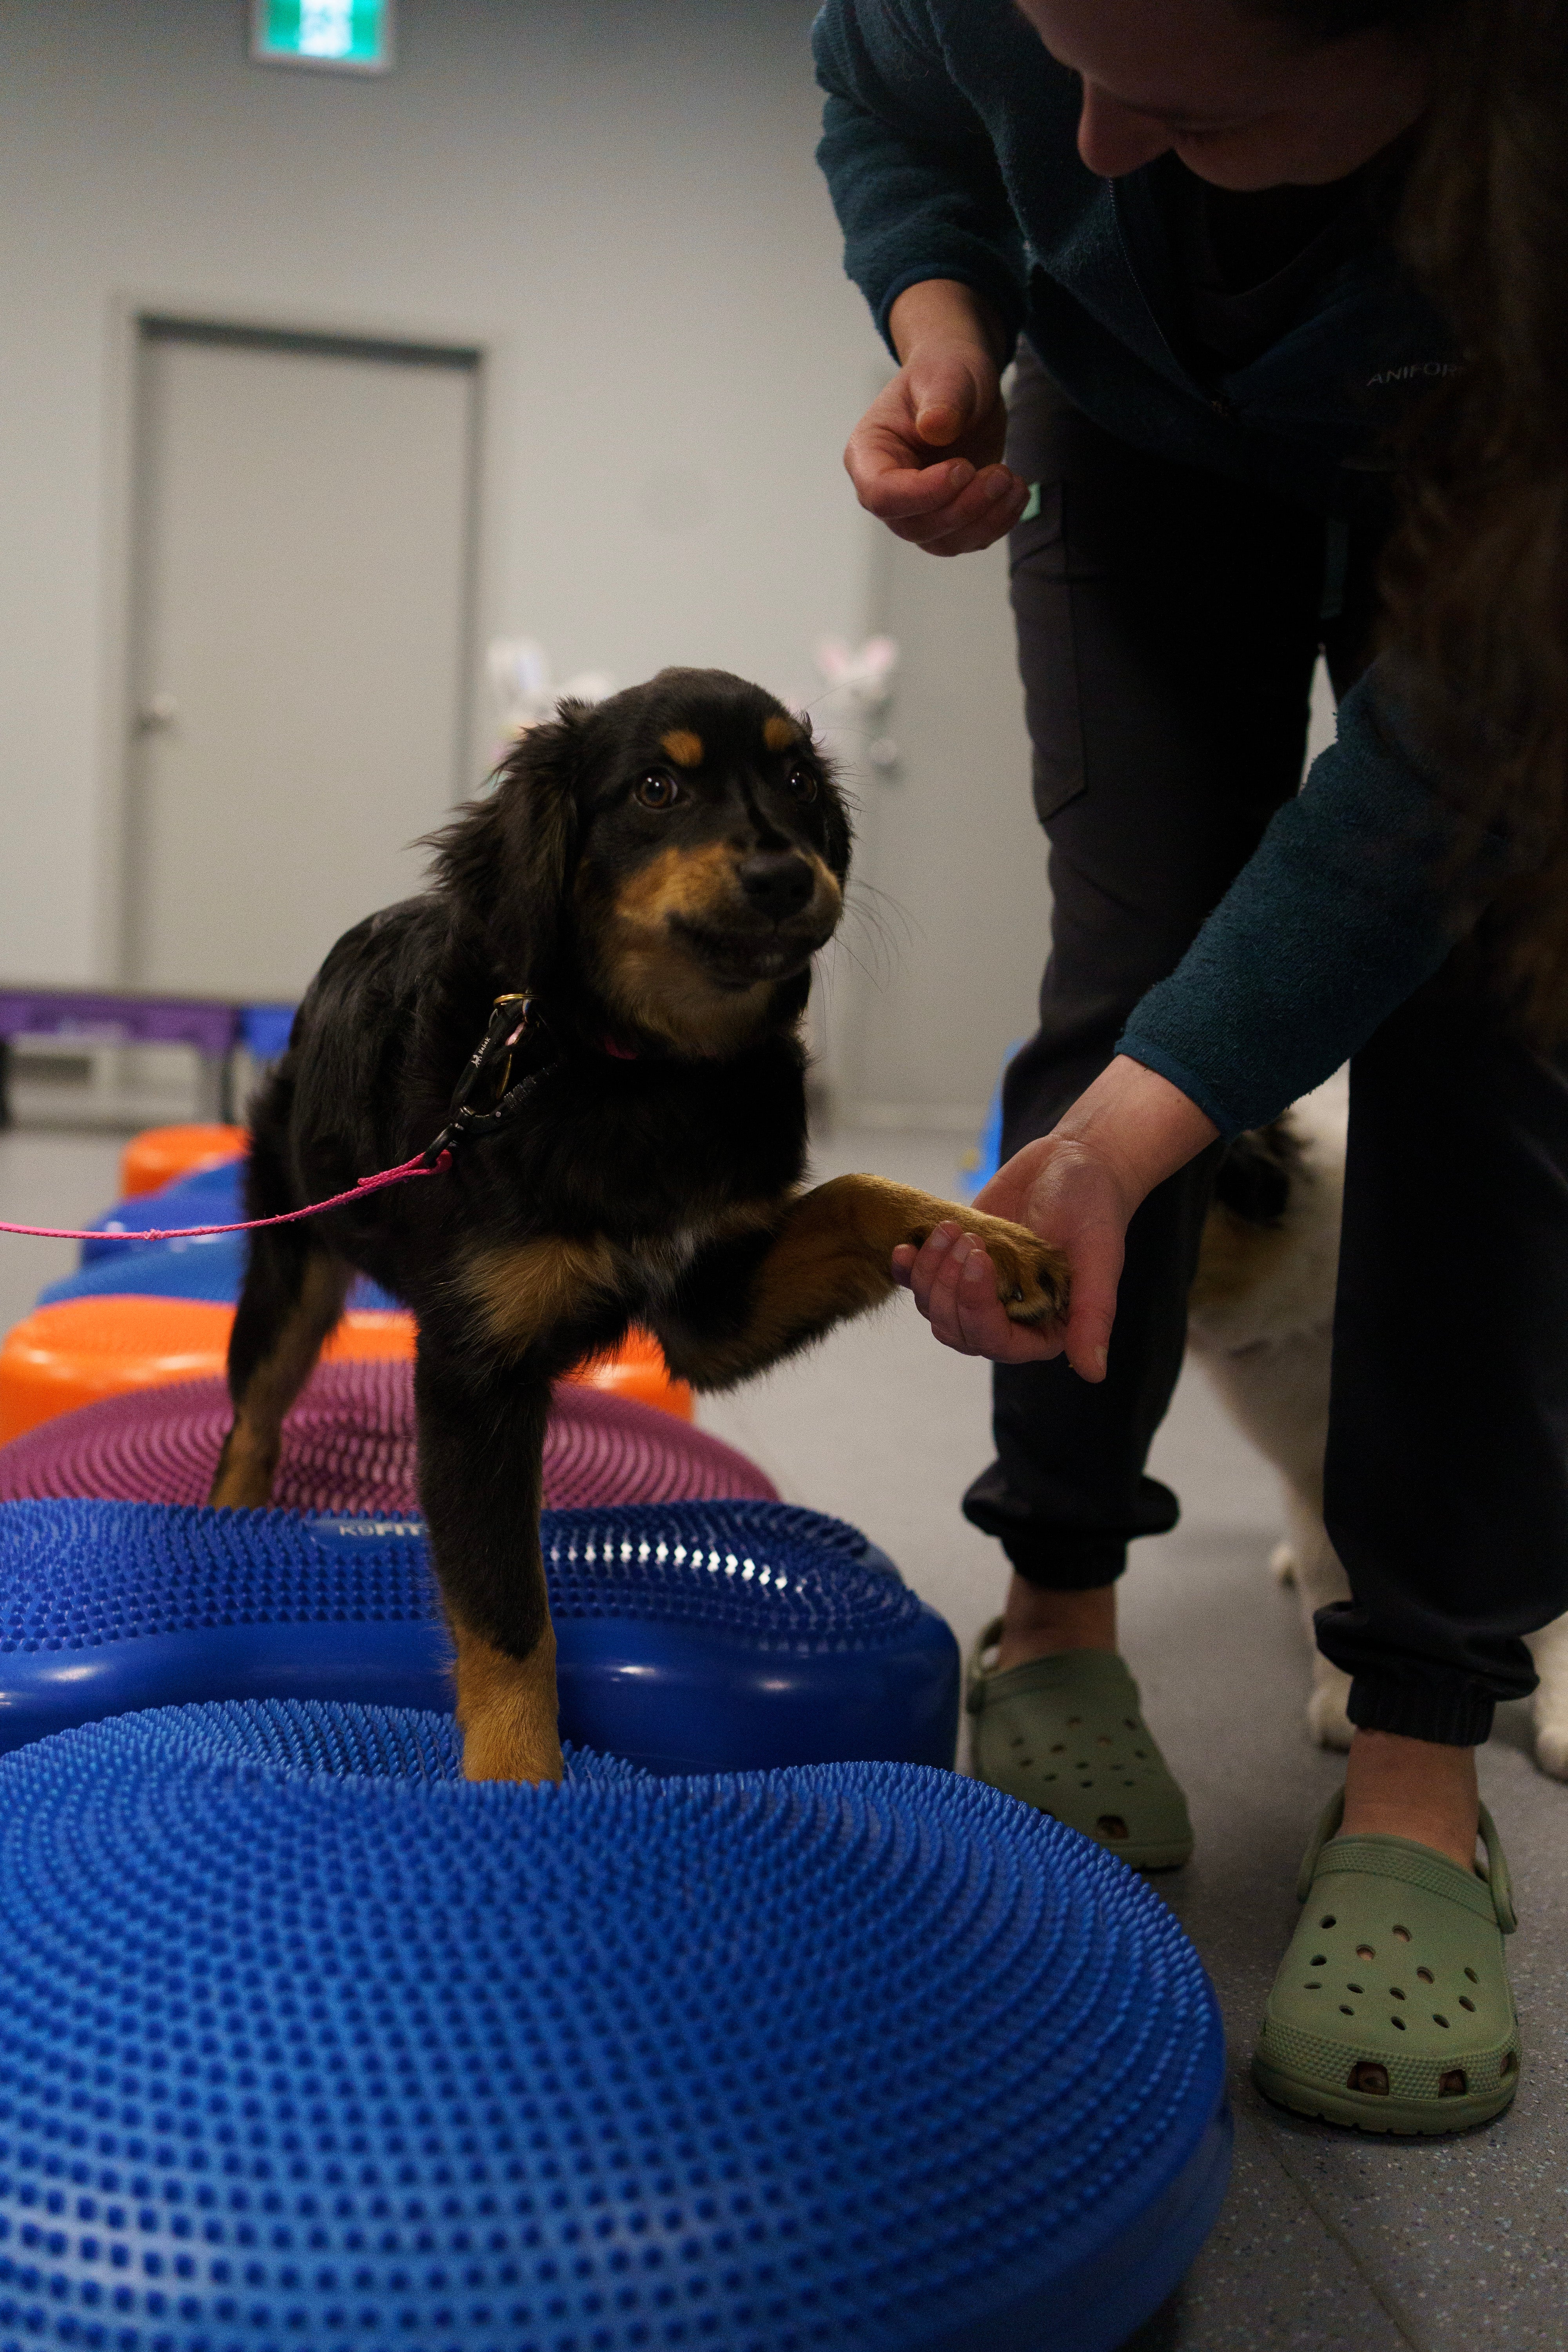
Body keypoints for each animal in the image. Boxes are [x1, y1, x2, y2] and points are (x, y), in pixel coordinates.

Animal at [211, 673, 1067, 1769]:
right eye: (656, 788)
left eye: (796, 780)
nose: (783, 876)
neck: (641, 1071)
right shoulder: (473, 1376)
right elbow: (506, 1616)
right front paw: (516, 1777)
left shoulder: (711, 1311)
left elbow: (857, 1193)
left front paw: (990, 1243)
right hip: (295, 1257)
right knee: (253, 1421)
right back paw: (233, 1519)